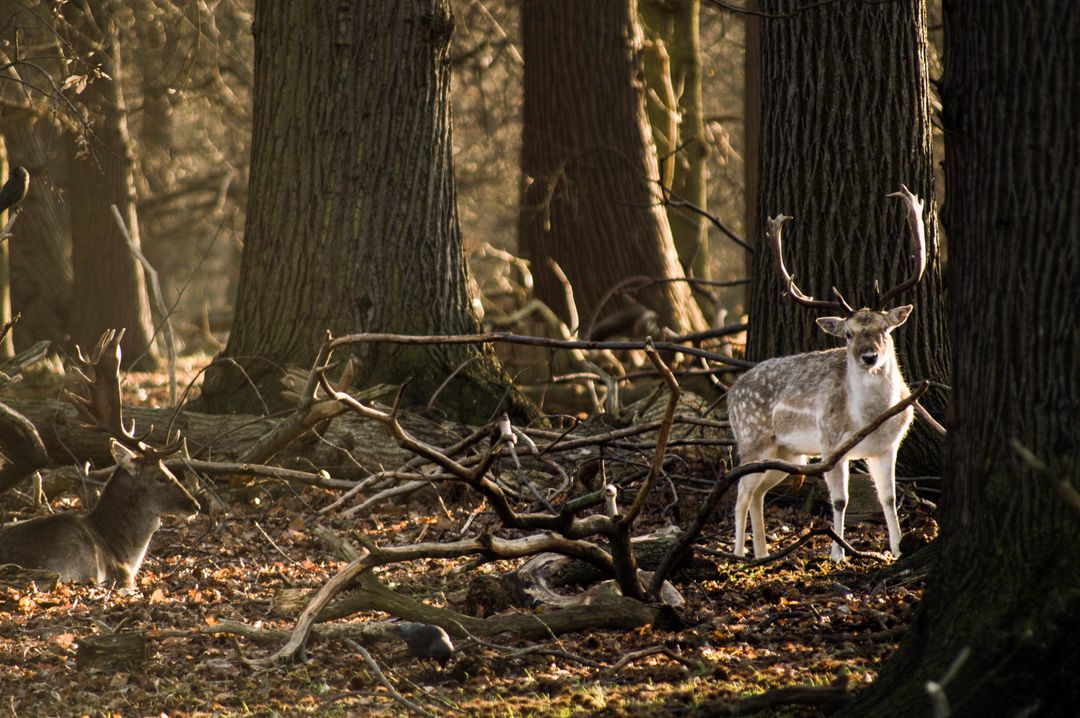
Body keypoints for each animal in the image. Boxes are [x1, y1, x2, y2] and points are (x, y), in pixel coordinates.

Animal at [728, 186, 927, 562]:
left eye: (884, 329)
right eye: (847, 334)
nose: (869, 356)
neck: (869, 418)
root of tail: (731, 392)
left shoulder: (887, 447)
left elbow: (889, 498)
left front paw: (897, 549)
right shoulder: (831, 443)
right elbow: (839, 500)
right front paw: (838, 554)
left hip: (788, 453)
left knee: (758, 492)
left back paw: (762, 553)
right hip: (752, 440)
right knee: (741, 492)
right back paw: (738, 553)